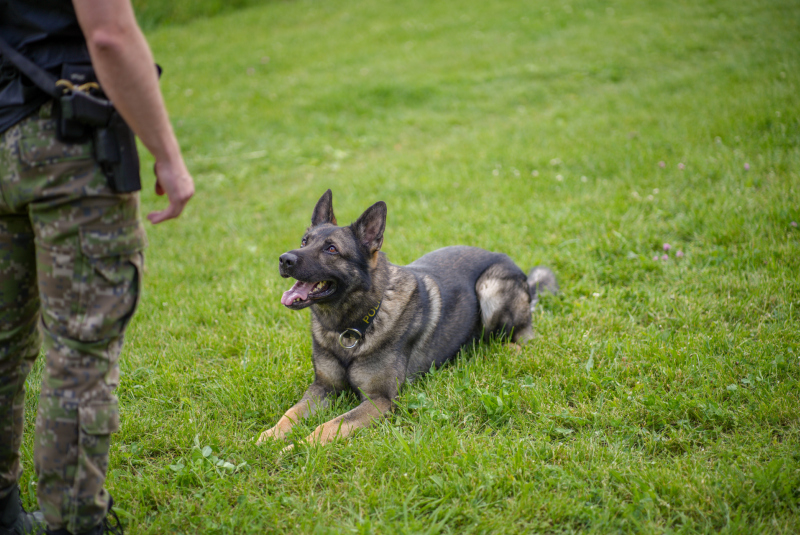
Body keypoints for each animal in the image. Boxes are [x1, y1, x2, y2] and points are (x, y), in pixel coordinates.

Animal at [256, 189, 556, 448]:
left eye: (331, 249)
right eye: (304, 242)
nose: (285, 259)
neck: (351, 326)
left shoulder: (381, 401)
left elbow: (327, 427)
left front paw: (297, 449)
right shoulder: (323, 388)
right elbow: (291, 413)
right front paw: (267, 437)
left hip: (489, 287)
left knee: (520, 336)